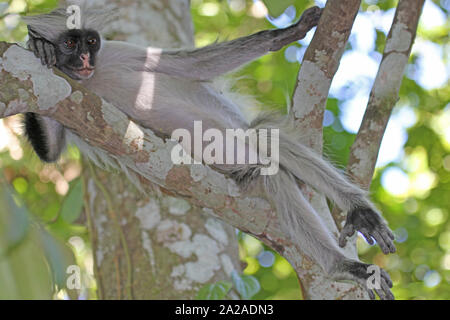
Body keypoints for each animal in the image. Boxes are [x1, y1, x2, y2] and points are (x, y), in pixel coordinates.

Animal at [22, 1, 394, 300]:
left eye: (91, 42)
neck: (90, 78)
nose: (86, 57)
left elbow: (191, 67)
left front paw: (288, 33)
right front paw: (40, 50)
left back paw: (360, 212)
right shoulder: (70, 100)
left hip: (240, 141)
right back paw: (340, 266)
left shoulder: (114, 51)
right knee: (268, 172)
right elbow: (51, 149)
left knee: (265, 137)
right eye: (71, 43)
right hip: (240, 169)